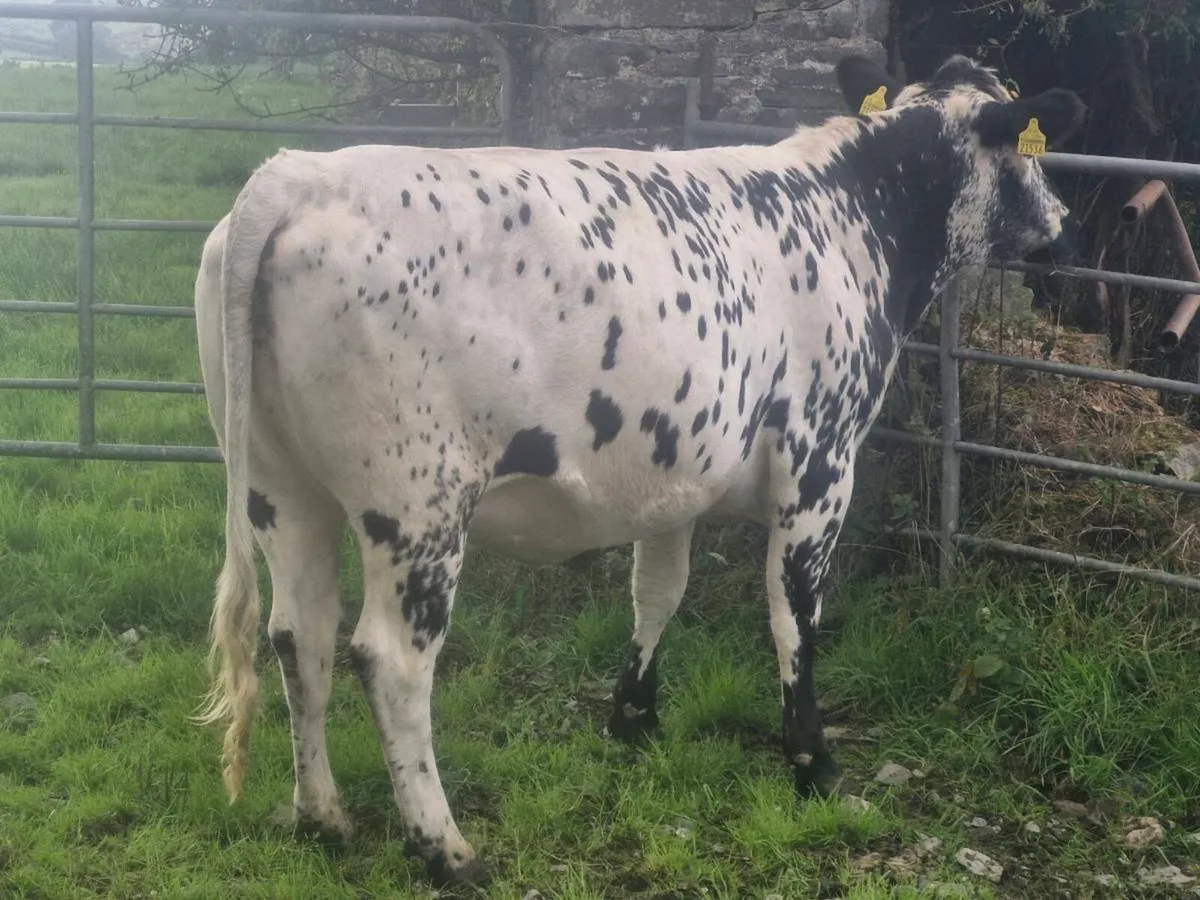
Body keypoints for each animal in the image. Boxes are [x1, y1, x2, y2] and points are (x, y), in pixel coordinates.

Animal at [192, 53, 1085, 886]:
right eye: (1025, 143)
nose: (1063, 218)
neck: (854, 213)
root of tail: (298, 175)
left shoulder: (676, 474)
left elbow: (658, 590)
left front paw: (634, 719)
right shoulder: (821, 467)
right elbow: (794, 614)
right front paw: (814, 761)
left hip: (281, 485)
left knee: (298, 632)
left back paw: (322, 817)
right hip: (416, 504)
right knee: (390, 659)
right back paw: (446, 849)